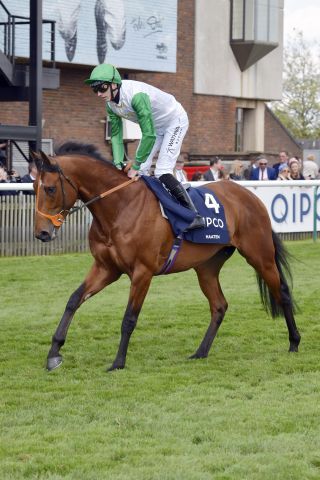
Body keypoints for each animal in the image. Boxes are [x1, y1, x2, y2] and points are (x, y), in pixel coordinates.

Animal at [32, 142, 300, 372]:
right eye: (34, 188)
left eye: (50, 188)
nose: (41, 233)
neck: (120, 207)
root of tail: (250, 196)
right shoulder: (106, 268)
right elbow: (73, 300)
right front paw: (54, 354)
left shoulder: (142, 271)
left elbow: (129, 318)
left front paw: (118, 362)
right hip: (207, 267)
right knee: (219, 305)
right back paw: (200, 352)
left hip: (260, 255)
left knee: (282, 293)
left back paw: (294, 342)